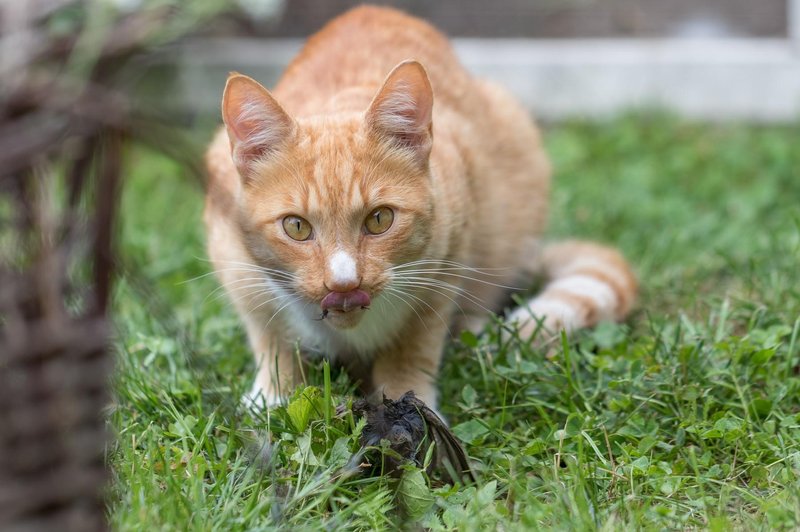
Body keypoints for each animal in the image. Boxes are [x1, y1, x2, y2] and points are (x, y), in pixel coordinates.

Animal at [202, 5, 636, 412]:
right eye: (296, 227)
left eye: (379, 219)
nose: (344, 284)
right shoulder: (241, 275)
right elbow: (273, 339)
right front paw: (274, 396)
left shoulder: (446, 264)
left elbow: (413, 344)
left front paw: (407, 403)